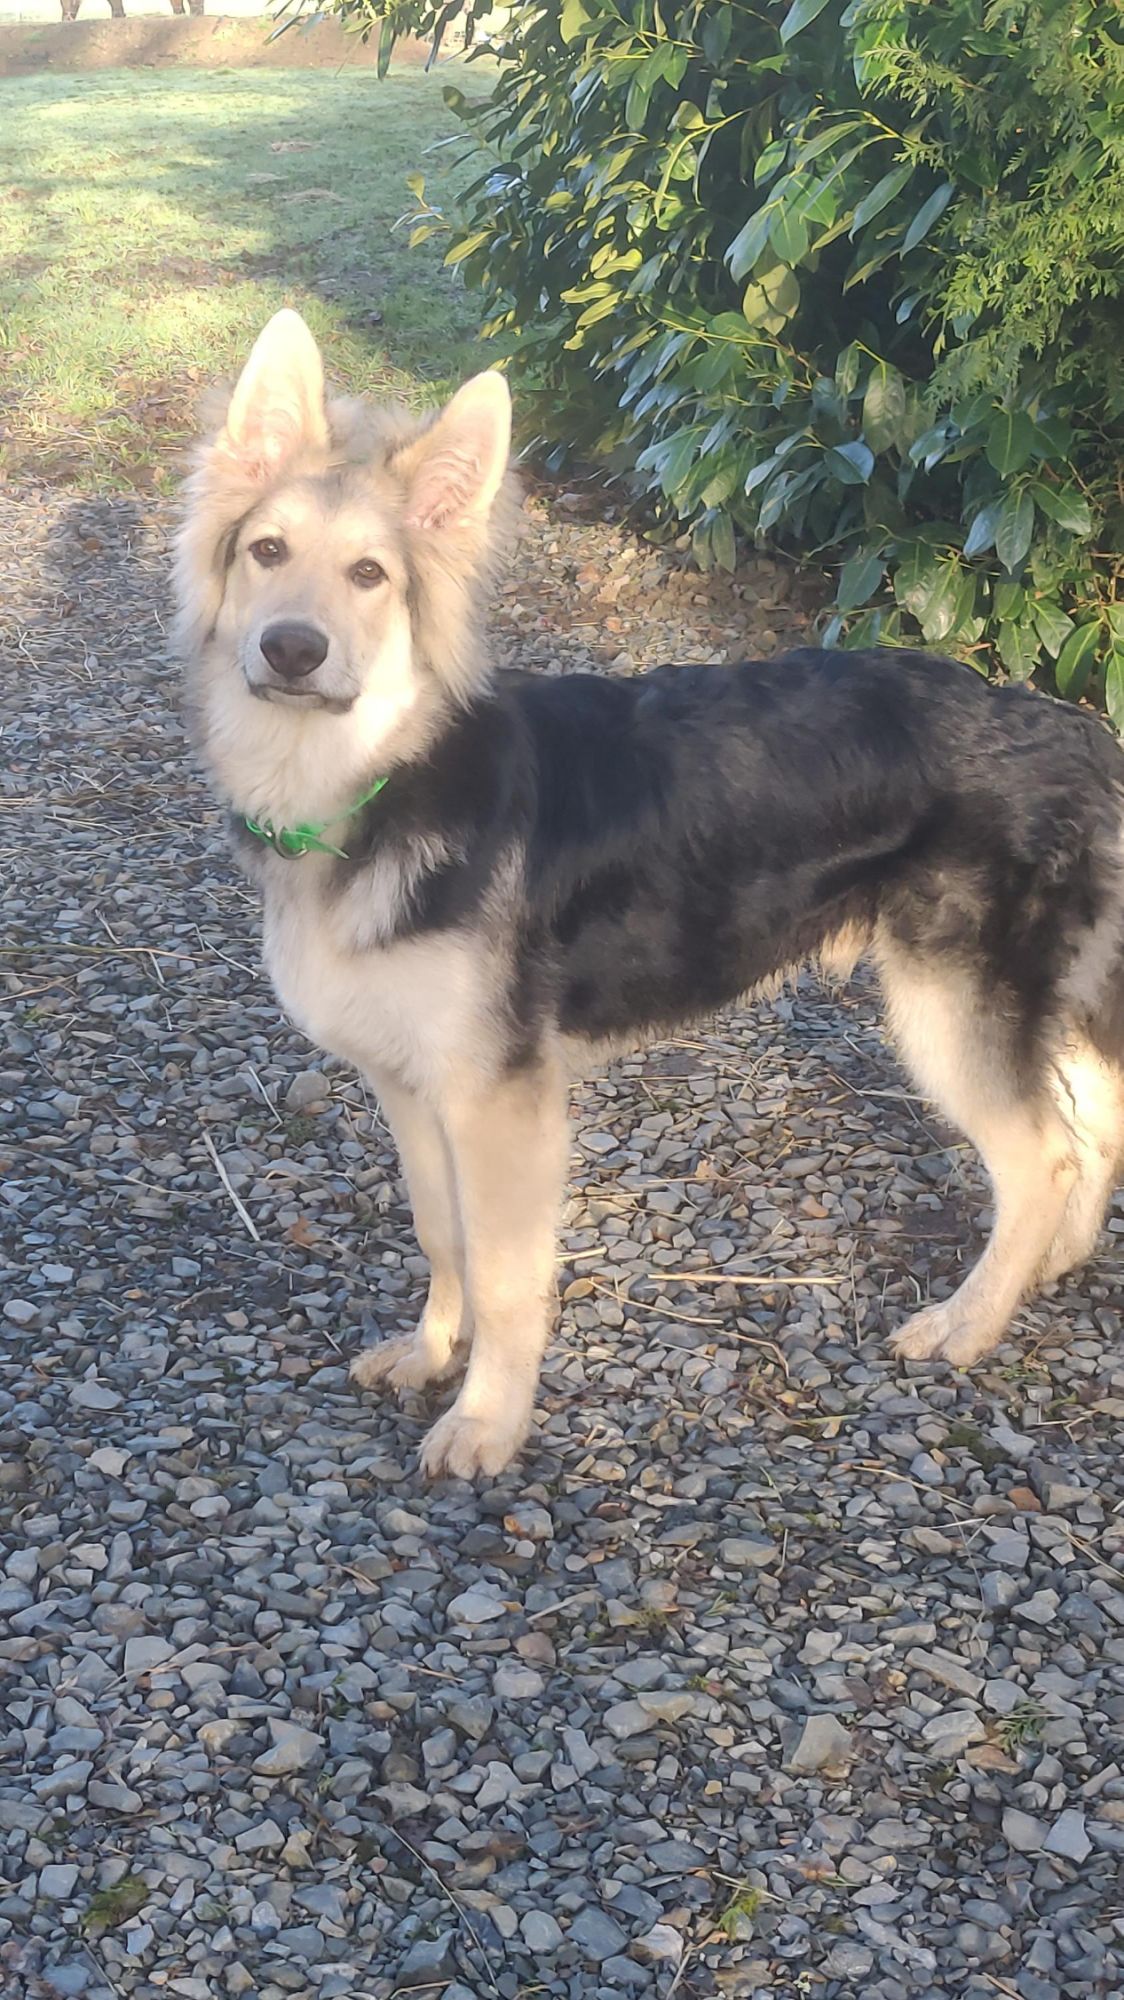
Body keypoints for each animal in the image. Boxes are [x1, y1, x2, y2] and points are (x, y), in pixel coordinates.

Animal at [173, 308, 1124, 1480]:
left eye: (368, 575)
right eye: (267, 551)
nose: (292, 650)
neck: (380, 774)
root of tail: (1071, 726)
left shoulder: (499, 1097)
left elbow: (503, 1271)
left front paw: (487, 1419)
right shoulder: (408, 1082)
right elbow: (442, 1233)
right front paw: (434, 1352)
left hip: (951, 1005)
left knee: (1041, 1157)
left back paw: (969, 1322)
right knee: (1093, 1125)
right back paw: (1049, 1268)